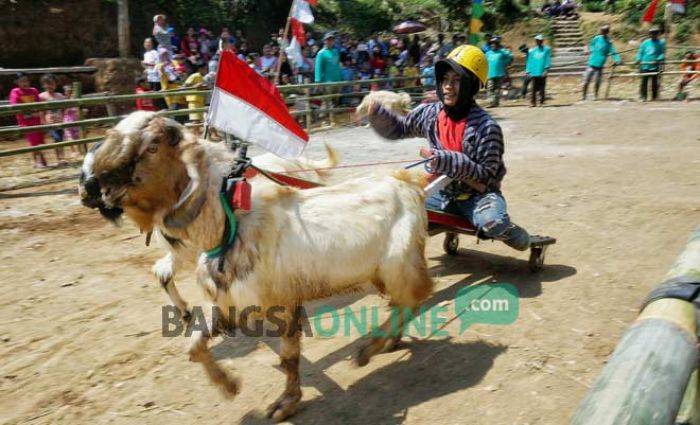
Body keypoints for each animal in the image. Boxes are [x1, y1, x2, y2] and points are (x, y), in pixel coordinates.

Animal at [79, 113, 340, 322]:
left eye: (152, 147)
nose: (86, 194)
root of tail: (301, 162)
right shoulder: (183, 251)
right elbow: (163, 274)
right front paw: (184, 311)